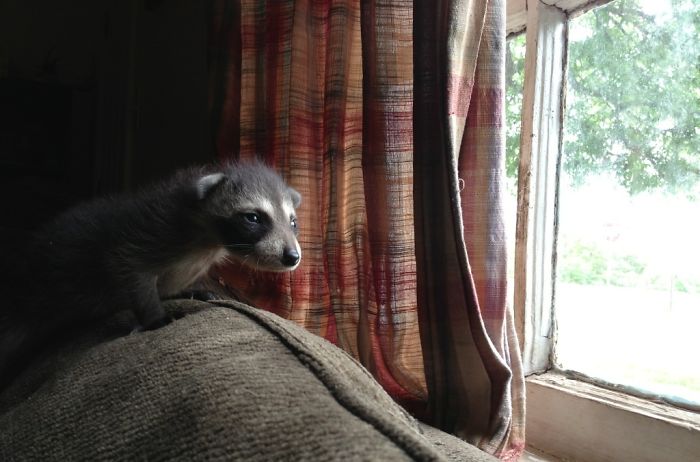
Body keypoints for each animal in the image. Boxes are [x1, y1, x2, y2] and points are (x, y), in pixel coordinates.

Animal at [0, 160, 301, 384]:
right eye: (253, 218)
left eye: (293, 222)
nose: (292, 257)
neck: (208, 242)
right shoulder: (146, 232)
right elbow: (131, 271)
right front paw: (155, 316)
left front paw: (189, 289)